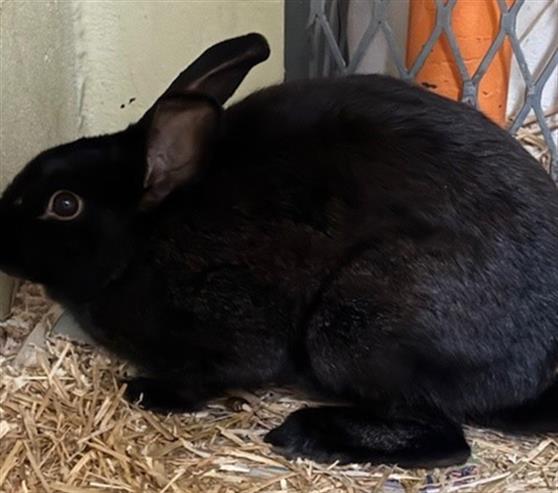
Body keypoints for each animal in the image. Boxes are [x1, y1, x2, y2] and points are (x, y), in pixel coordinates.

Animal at [1, 33, 558, 466]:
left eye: (64, 204)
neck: (146, 236)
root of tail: (535, 372)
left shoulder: (234, 320)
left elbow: (212, 374)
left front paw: (150, 391)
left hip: (355, 324)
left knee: (446, 440)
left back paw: (305, 434)